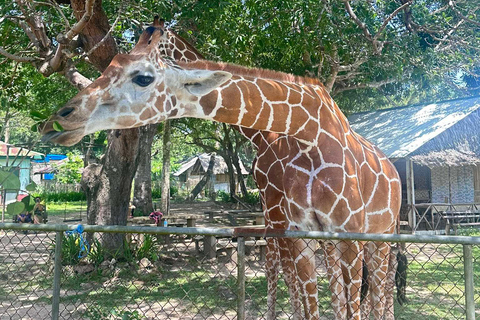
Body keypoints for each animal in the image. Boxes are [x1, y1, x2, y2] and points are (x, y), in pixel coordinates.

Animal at [40, 20, 402, 320]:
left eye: (143, 77)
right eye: (113, 62)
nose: (58, 121)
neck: (304, 133)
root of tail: (395, 171)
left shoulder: (345, 232)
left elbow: (340, 299)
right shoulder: (299, 230)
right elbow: (307, 293)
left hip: (381, 233)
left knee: (380, 283)